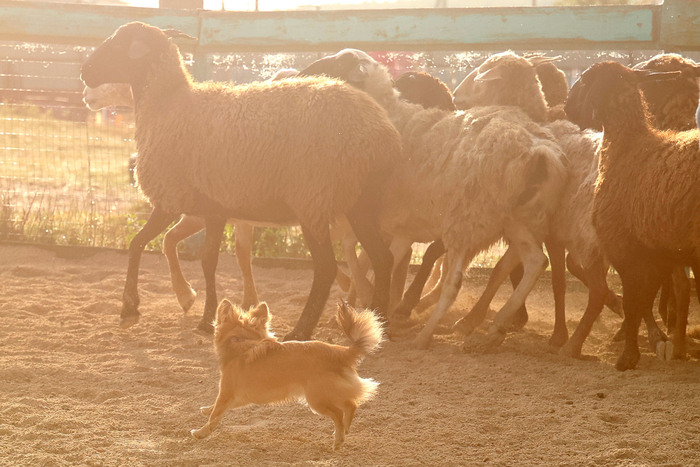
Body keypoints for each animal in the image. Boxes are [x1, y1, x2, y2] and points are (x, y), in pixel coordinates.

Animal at [80, 22, 399, 339]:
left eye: (118, 44)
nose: (84, 71)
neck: (169, 105)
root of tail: (381, 132)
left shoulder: (174, 198)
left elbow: (163, 250)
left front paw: (150, 311)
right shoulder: (208, 206)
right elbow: (185, 254)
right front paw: (193, 315)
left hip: (313, 197)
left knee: (326, 268)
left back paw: (301, 331)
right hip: (359, 202)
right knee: (383, 257)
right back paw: (380, 320)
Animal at [298, 49, 567, 349]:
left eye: (340, 62)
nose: (305, 73)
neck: (395, 117)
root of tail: (541, 151)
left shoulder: (377, 215)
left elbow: (364, 256)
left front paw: (371, 302)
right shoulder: (399, 224)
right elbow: (383, 261)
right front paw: (377, 306)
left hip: (468, 218)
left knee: (454, 283)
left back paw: (426, 335)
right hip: (519, 219)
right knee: (535, 261)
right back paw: (494, 327)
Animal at [564, 60, 700, 370]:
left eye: (585, 79)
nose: (565, 106)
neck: (628, 146)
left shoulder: (624, 248)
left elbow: (633, 301)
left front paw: (628, 356)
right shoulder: (657, 253)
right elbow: (644, 300)